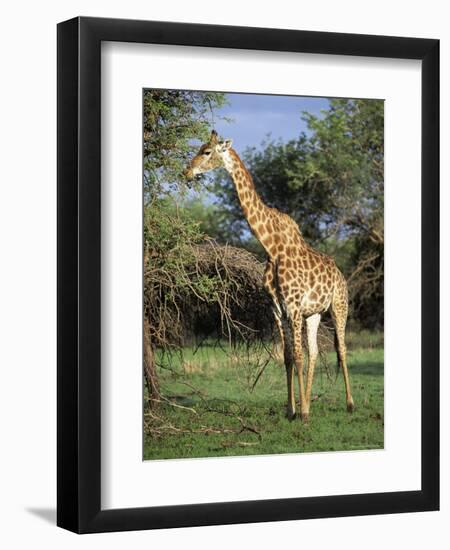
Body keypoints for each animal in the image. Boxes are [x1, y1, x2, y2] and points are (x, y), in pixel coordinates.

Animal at [185, 130, 354, 422]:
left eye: (206, 152)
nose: (187, 171)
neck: (271, 246)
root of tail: (341, 275)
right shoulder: (278, 309)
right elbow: (287, 357)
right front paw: (292, 410)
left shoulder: (294, 306)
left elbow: (297, 356)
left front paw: (302, 414)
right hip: (314, 314)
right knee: (315, 352)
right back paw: (310, 404)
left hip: (338, 306)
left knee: (341, 350)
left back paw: (349, 404)